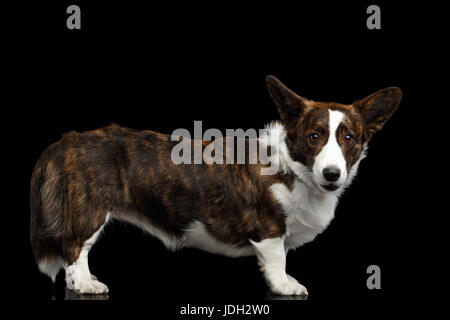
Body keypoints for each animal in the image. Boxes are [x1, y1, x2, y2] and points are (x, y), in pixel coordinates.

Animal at [30, 76, 400, 296]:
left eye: (348, 138)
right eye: (314, 137)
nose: (333, 174)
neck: (293, 168)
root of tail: (64, 142)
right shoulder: (267, 230)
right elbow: (277, 260)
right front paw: (285, 286)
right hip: (89, 210)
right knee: (74, 249)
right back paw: (86, 284)